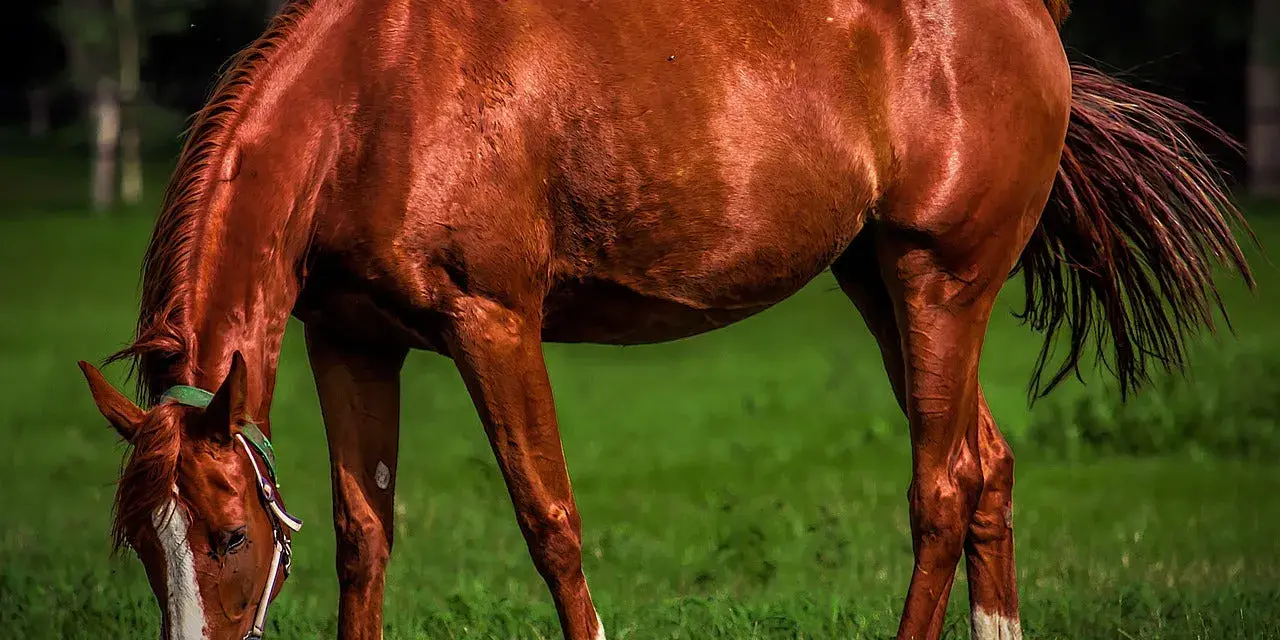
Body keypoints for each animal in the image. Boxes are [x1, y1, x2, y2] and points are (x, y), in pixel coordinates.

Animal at [76, 0, 1255, 638]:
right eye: (140, 539)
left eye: (228, 535)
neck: (376, 94)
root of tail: (1029, 19)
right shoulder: (353, 340)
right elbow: (365, 535)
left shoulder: (493, 325)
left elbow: (549, 522)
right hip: (880, 285)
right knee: (988, 466)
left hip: (940, 284)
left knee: (942, 489)